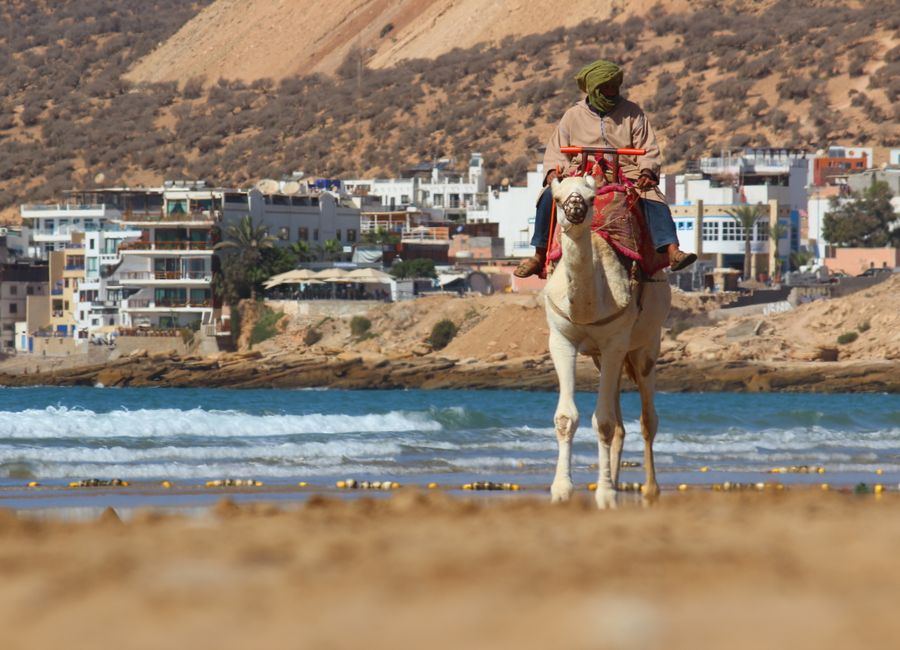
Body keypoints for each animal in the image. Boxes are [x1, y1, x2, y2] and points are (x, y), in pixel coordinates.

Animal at [544, 174, 672, 509]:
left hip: (645, 346)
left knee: (647, 419)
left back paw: (650, 489)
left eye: (591, 198)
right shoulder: (561, 340)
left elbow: (602, 422)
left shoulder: (615, 342)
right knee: (620, 424)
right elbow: (567, 418)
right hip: (602, 358)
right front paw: (562, 490)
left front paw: (604, 494)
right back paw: (614, 480)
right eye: (558, 198)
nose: (575, 208)